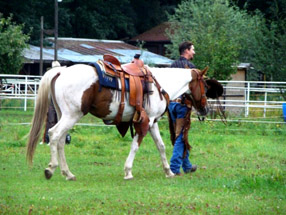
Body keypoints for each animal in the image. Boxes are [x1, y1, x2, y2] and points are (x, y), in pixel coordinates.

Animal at [26, 63, 213, 181]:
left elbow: (161, 146)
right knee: (54, 134)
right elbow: (135, 146)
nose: (205, 109)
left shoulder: (153, 122)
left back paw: (68, 173)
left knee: (60, 141)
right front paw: (128, 172)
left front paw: (169, 172)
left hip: (65, 115)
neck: (159, 85)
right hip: (72, 115)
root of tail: (61, 71)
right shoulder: (145, 122)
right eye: (204, 85)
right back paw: (51, 169)